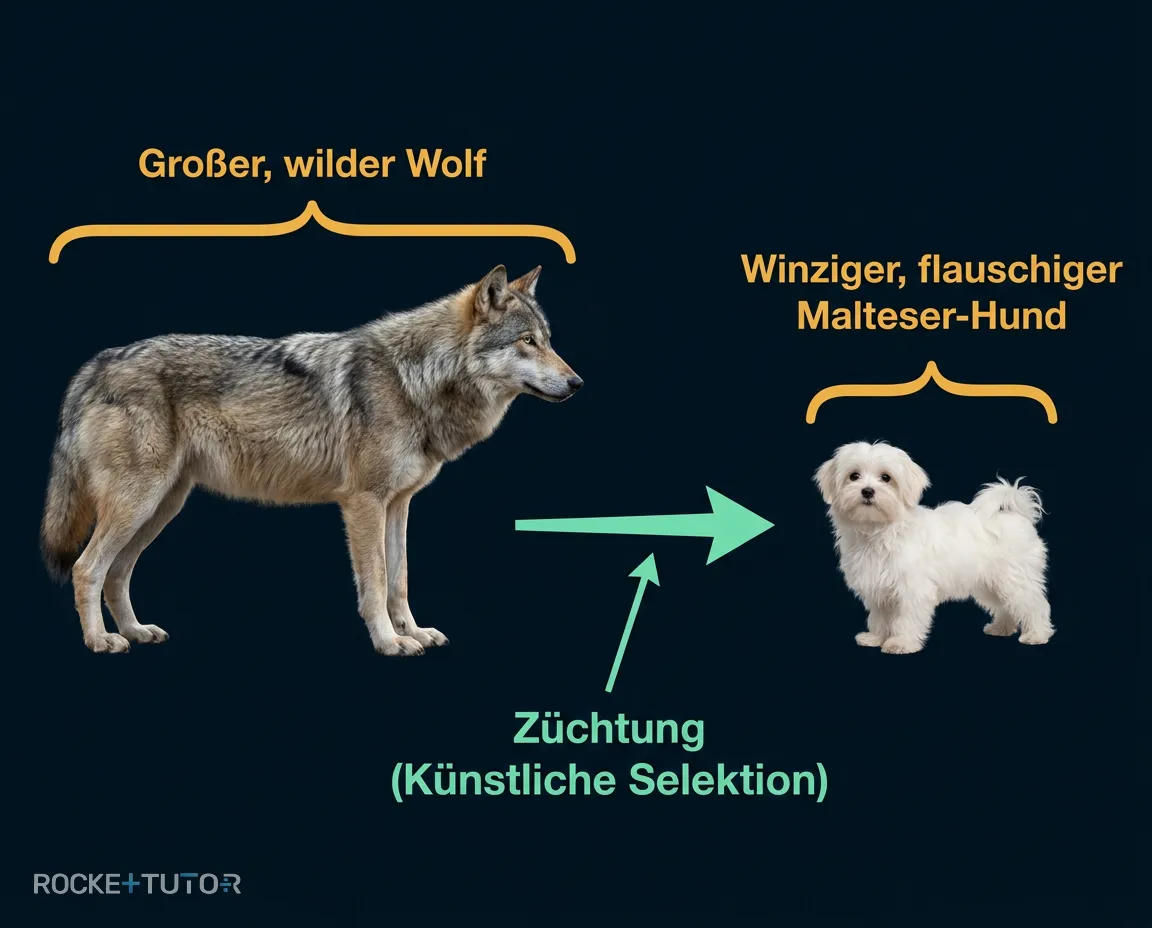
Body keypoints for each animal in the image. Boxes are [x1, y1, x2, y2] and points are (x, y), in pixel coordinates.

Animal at [41, 265, 581, 655]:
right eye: (527, 342)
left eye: (549, 339)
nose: (577, 383)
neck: (416, 379)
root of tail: (94, 366)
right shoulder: (363, 503)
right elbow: (376, 581)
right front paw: (389, 642)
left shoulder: (399, 504)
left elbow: (400, 579)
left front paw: (413, 631)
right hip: (139, 504)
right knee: (88, 568)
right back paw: (101, 640)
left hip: (161, 508)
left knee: (117, 572)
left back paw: (135, 631)